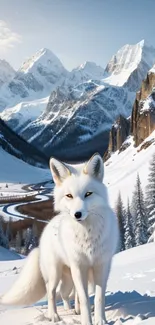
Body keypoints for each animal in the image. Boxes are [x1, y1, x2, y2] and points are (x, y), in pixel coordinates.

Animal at [0, 153, 118, 324]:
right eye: (69, 196)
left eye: (88, 194)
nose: (77, 214)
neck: (87, 236)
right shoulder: (79, 266)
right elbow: (84, 299)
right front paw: (87, 321)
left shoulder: (101, 266)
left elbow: (99, 298)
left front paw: (100, 320)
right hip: (55, 274)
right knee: (52, 293)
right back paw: (54, 316)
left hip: (70, 278)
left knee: (66, 294)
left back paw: (72, 310)